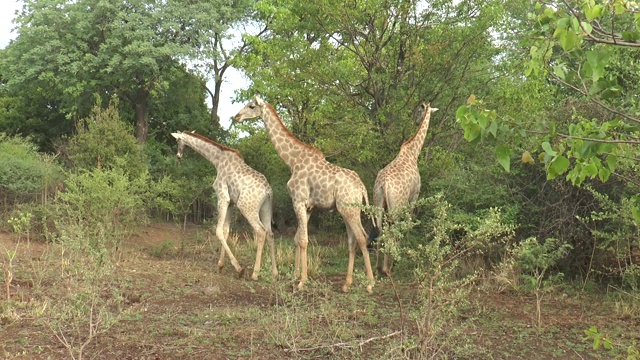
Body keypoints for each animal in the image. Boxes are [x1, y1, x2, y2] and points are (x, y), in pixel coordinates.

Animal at [171, 131, 278, 282]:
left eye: (177, 141)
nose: (179, 155)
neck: (217, 161)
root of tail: (268, 191)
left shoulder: (222, 197)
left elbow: (219, 231)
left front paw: (238, 269)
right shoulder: (231, 202)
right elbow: (226, 231)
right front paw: (221, 265)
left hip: (247, 207)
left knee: (261, 231)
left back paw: (255, 273)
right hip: (266, 209)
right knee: (270, 233)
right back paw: (275, 273)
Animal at [234, 95, 376, 292]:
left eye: (251, 106)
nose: (236, 117)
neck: (292, 161)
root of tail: (361, 187)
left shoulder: (298, 200)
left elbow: (302, 240)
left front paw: (302, 281)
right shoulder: (309, 206)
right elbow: (298, 238)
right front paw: (296, 276)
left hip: (349, 209)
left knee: (362, 238)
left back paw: (370, 284)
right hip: (347, 210)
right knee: (352, 240)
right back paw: (346, 284)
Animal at [372, 102, 438, 274]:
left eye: (419, 111)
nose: (416, 121)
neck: (413, 152)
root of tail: (384, 184)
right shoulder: (414, 195)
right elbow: (410, 221)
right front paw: (407, 248)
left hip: (378, 203)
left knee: (380, 230)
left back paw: (379, 267)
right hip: (396, 206)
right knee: (391, 230)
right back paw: (388, 267)